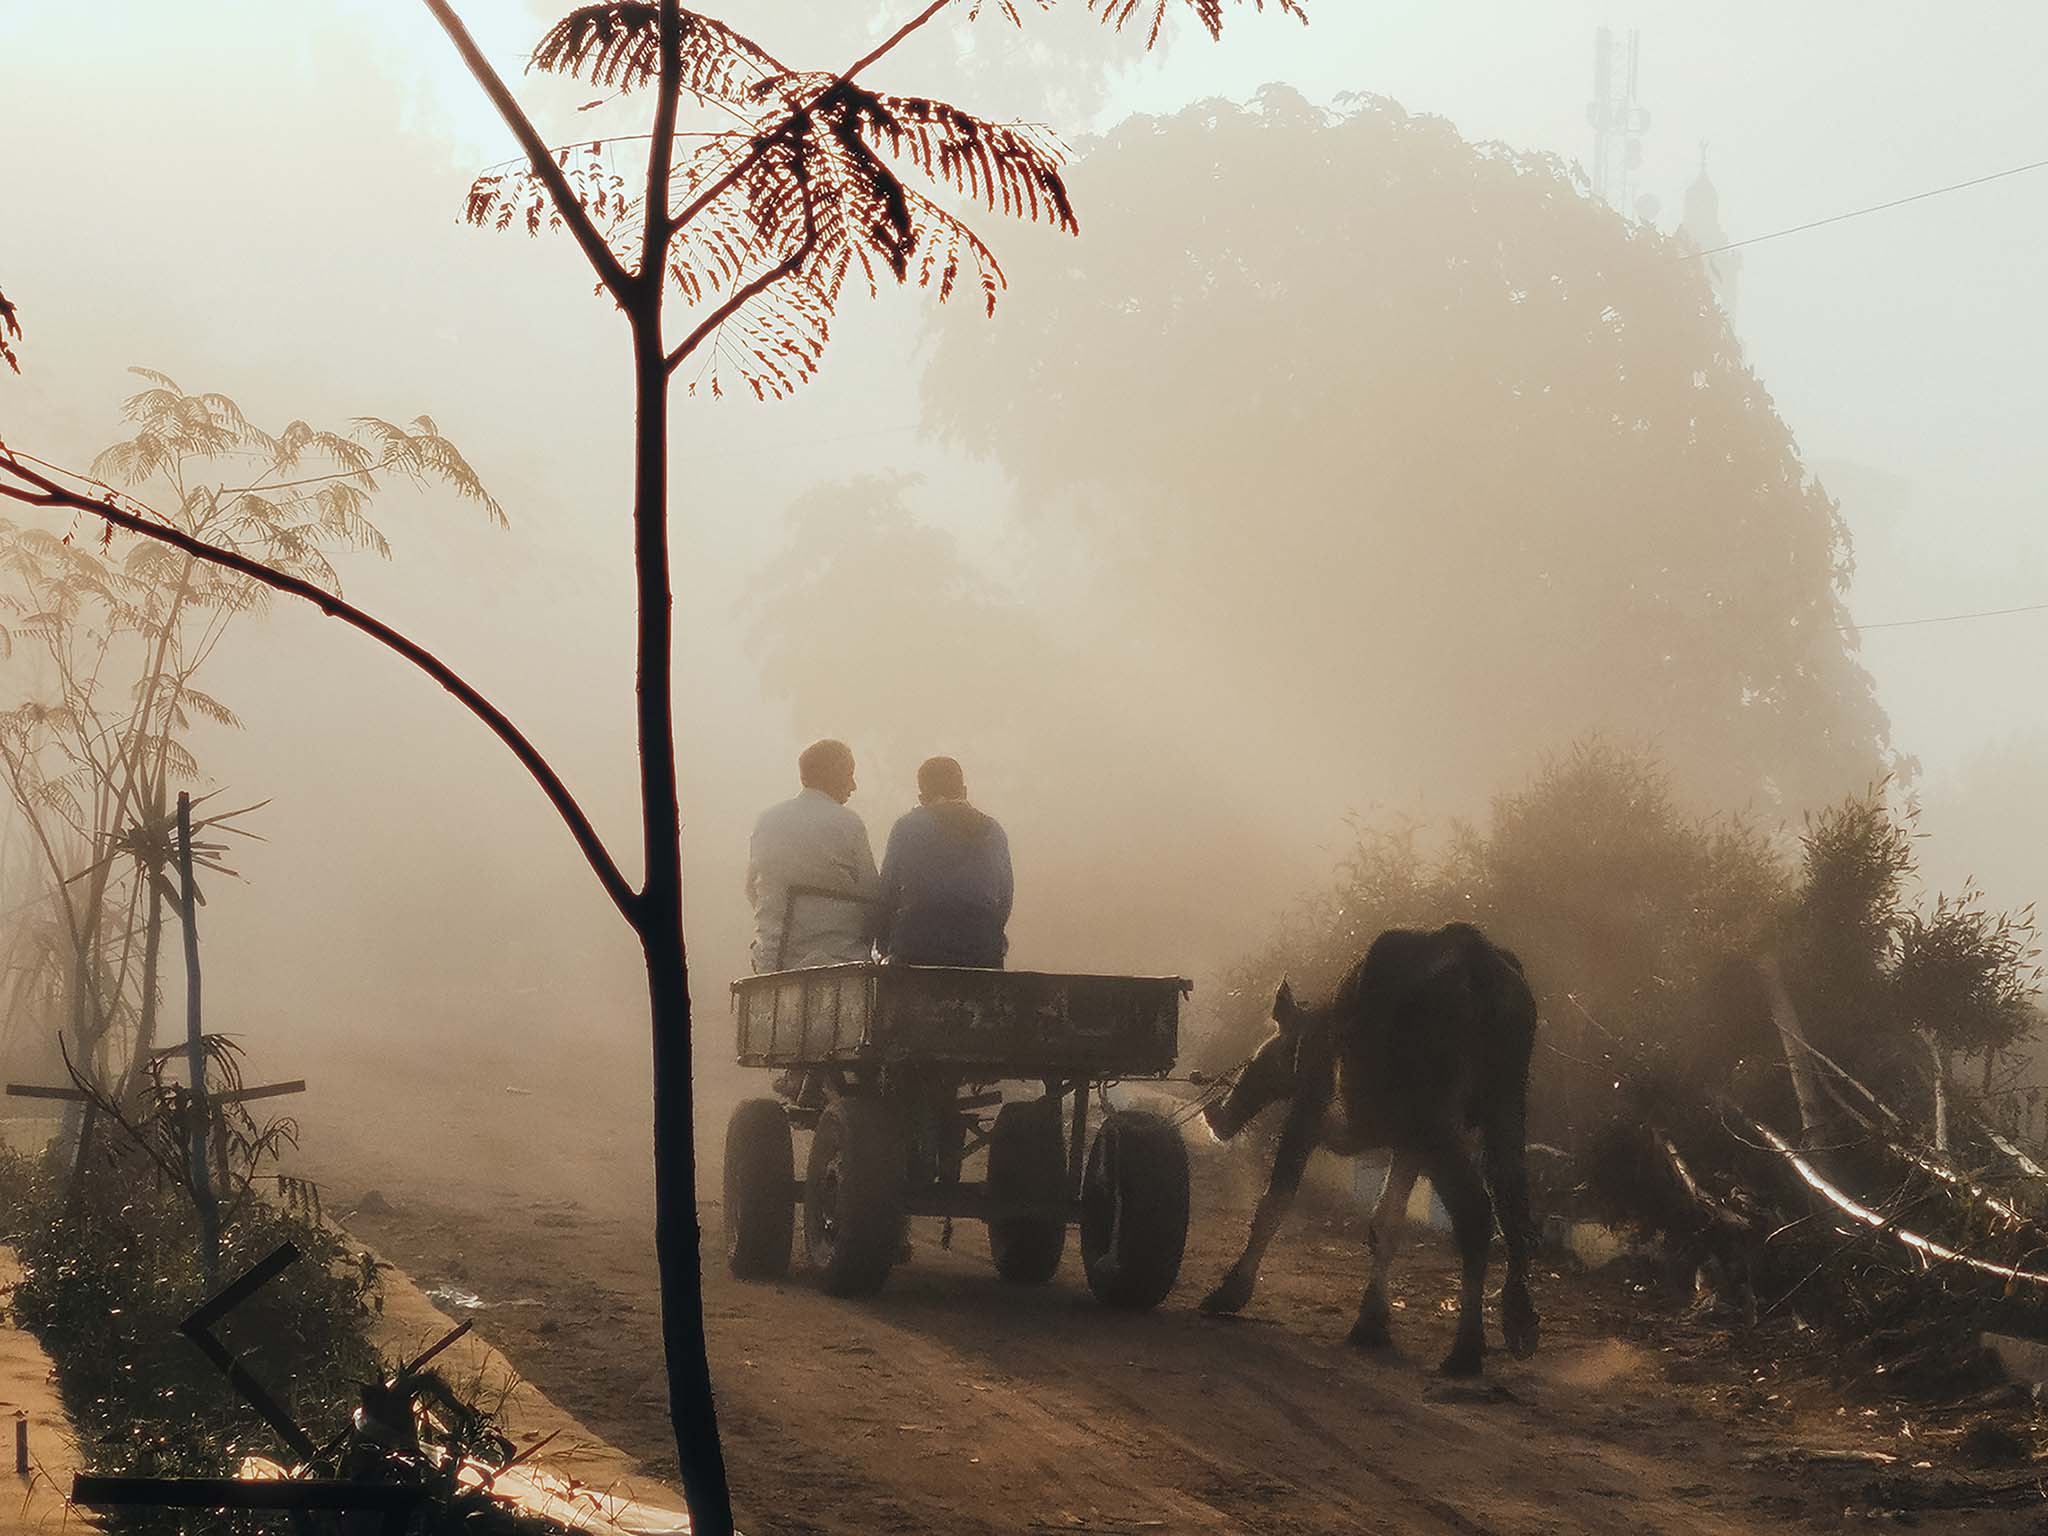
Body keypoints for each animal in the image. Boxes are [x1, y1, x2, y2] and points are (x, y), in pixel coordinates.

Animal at [1196, 921, 1540, 1376]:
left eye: (1264, 1047)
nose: (1217, 1112)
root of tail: (1479, 966)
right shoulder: (1406, 1142)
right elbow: (1386, 1221)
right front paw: (1371, 1322)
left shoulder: (1309, 1113)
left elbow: (1275, 1201)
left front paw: (1230, 1291)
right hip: (1505, 1105)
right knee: (1515, 1203)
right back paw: (1520, 1323)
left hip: (1436, 1119)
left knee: (1475, 1210)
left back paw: (1466, 1350)